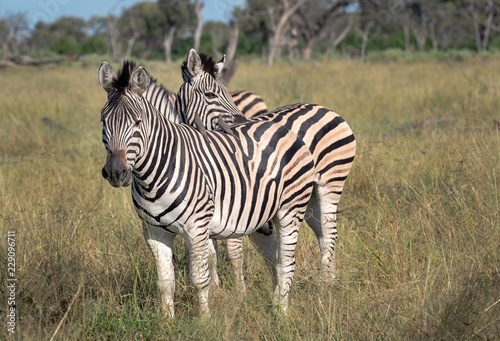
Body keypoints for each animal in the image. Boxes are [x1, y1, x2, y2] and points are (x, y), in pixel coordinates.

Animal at [98, 59, 316, 316]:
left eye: (137, 122)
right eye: (103, 122)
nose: (115, 172)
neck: (153, 173)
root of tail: (281, 127)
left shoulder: (198, 228)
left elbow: (200, 278)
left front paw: (205, 319)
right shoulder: (154, 232)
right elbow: (165, 281)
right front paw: (168, 320)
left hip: (290, 209)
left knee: (287, 263)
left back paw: (280, 313)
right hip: (263, 216)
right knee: (274, 259)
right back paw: (273, 304)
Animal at [176, 49, 356, 282]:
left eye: (230, 95)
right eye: (210, 95)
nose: (240, 123)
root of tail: (328, 110)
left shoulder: (237, 203)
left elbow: (233, 252)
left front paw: (238, 290)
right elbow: (210, 254)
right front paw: (216, 288)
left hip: (331, 180)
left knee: (329, 231)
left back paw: (325, 283)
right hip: (307, 193)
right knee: (322, 232)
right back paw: (330, 278)